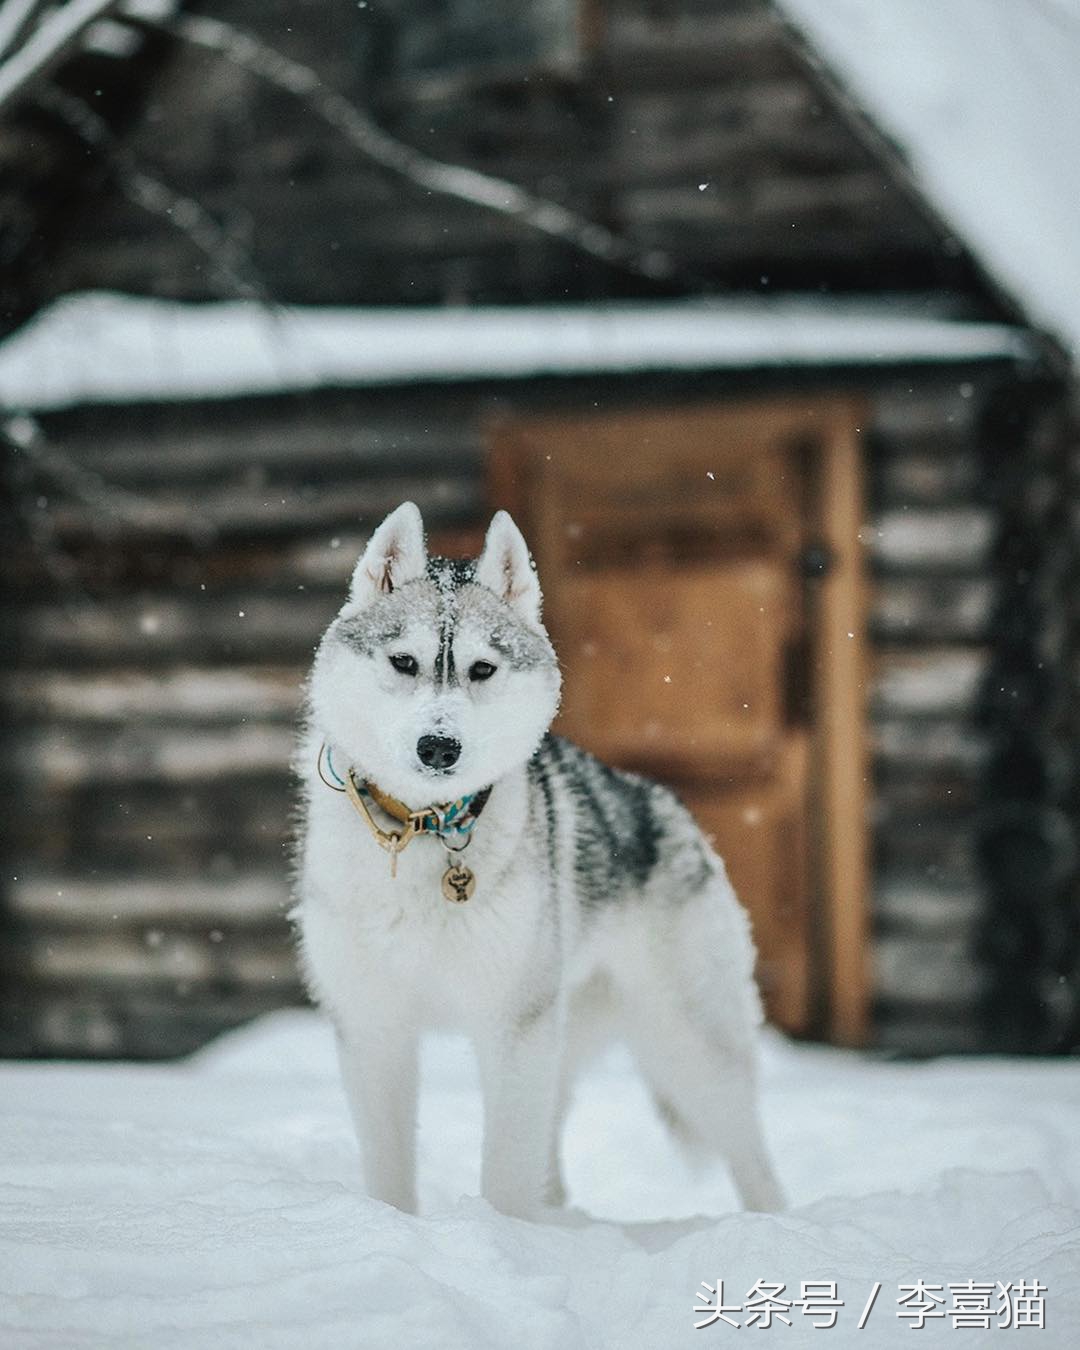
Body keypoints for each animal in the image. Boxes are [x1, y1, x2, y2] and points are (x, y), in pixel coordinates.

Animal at [292, 502, 783, 1220]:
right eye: (404, 661)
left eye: (481, 670)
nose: (438, 746)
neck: (427, 831)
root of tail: (671, 807)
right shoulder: (373, 1023)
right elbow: (390, 1173)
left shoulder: (512, 1024)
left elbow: (504, 1173)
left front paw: (500, 1239)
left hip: (688, 1046)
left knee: (754, 1161)